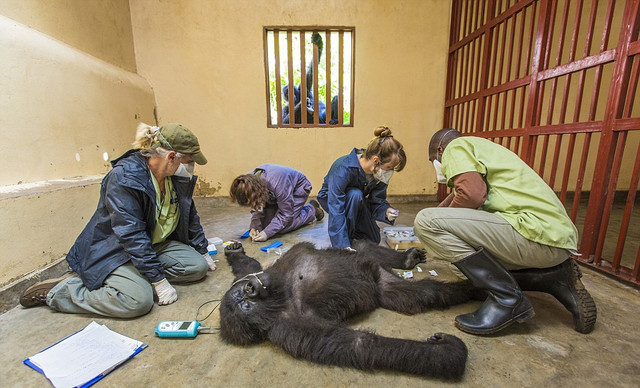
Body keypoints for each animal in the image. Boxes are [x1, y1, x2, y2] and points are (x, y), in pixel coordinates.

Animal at [220, 239, 480, 378]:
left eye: (244, 294)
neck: (281, 291)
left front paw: (236, 253)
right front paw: (446, 353)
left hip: (374, 267)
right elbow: (360, 345)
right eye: (246, 306)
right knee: (422, 293)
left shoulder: (260, 273)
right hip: (386, 286)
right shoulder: (292, 329)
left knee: (363, 246)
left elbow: (249, 266)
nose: (252, 288)